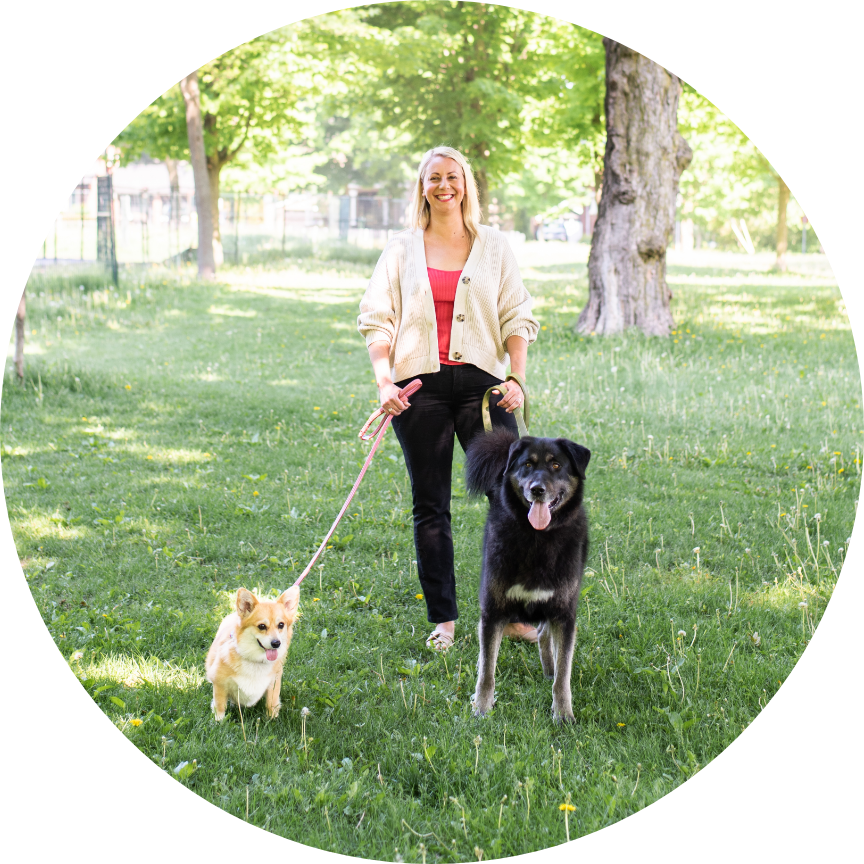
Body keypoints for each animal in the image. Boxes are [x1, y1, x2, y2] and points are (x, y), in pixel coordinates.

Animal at [206, 588, 300, 724]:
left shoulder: (273, 683)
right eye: (262, 626)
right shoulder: (220, 684)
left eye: (281, 625)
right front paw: (219, 722)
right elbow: (220, 705)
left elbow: (271, 703)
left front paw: (272, 719)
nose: (276, 643)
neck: (256, 660)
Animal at [466, 430, 588, 724]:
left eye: (556, 465)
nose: (537, 489)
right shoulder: (493, 611)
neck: (537, 537)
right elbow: (487, 671)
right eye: (527, 465)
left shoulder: (564, 613)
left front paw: (563, 714)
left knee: (544, 635)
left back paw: (549, 669)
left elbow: (563, 676)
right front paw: (482, 709)